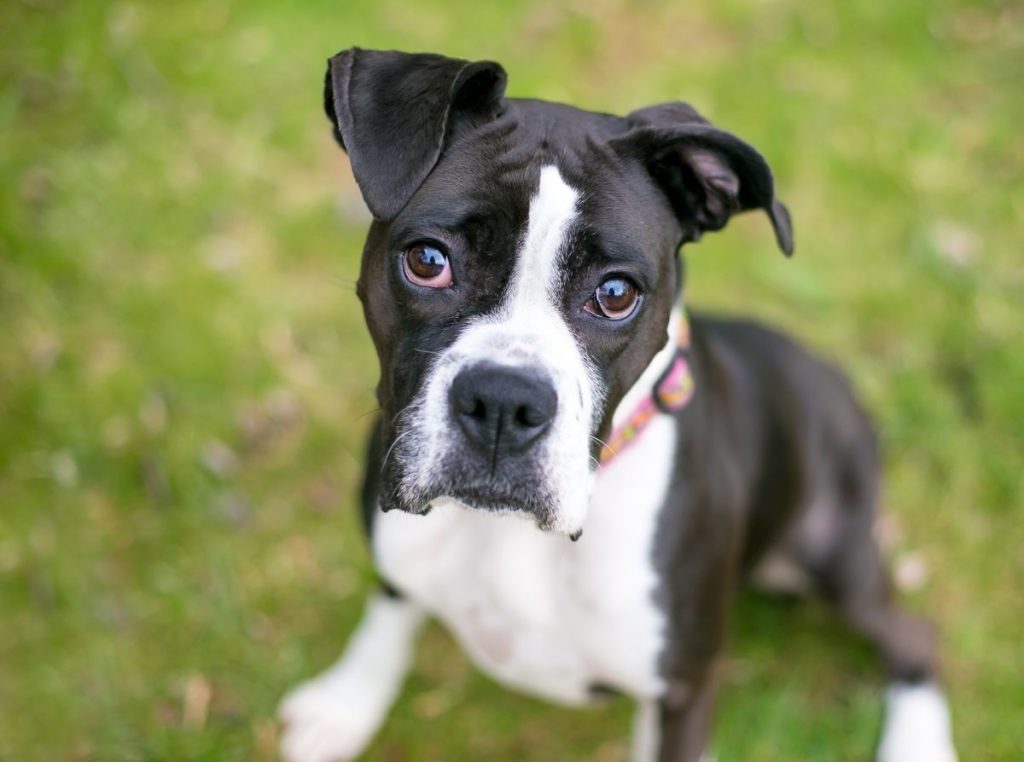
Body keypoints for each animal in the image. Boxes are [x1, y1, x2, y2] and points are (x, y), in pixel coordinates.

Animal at [278, 49, 950, 762]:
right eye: (428, 260)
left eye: (616, 294)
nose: (504, 400)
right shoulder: (394, 551)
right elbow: (388, 611)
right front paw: (347, 704)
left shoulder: (683, 692)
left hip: (833, 553)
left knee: (912, 635)